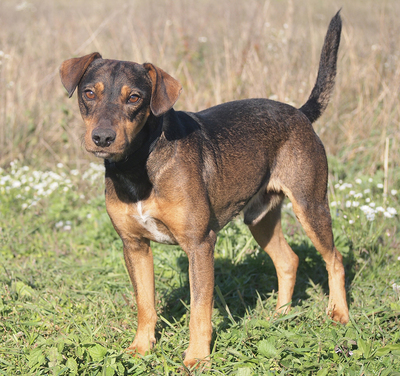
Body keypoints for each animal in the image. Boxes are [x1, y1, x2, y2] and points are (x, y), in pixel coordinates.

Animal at [58, 11, 346, 368]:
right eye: (88, 93)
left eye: (134, 98)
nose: (102, 138)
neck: (139, 163)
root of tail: (301, 114)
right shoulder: (134, 246)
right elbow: (145, 304)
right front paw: (141, 349)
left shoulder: (200, 245)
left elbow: (199, 310)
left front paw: (197, 358)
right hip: (259, 218)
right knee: (288, 261)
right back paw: (279, 316)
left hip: (310, 204)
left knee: (335, 259)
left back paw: (339, 314)